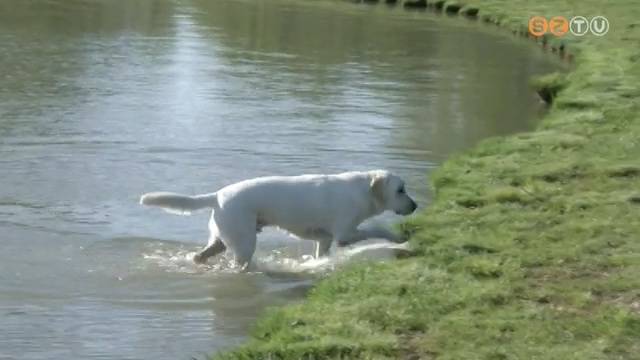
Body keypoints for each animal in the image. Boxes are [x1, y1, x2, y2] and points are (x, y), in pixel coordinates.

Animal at [141, 170, 418, 268]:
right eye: (400, 190)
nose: (415, 206)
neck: (361, 191)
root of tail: (217, 196)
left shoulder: (325, 239)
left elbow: (321, 255)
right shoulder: (345, 234)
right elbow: (377, 226)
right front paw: (399, 237)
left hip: (223, 239)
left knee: (200, 256)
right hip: (244, 243)